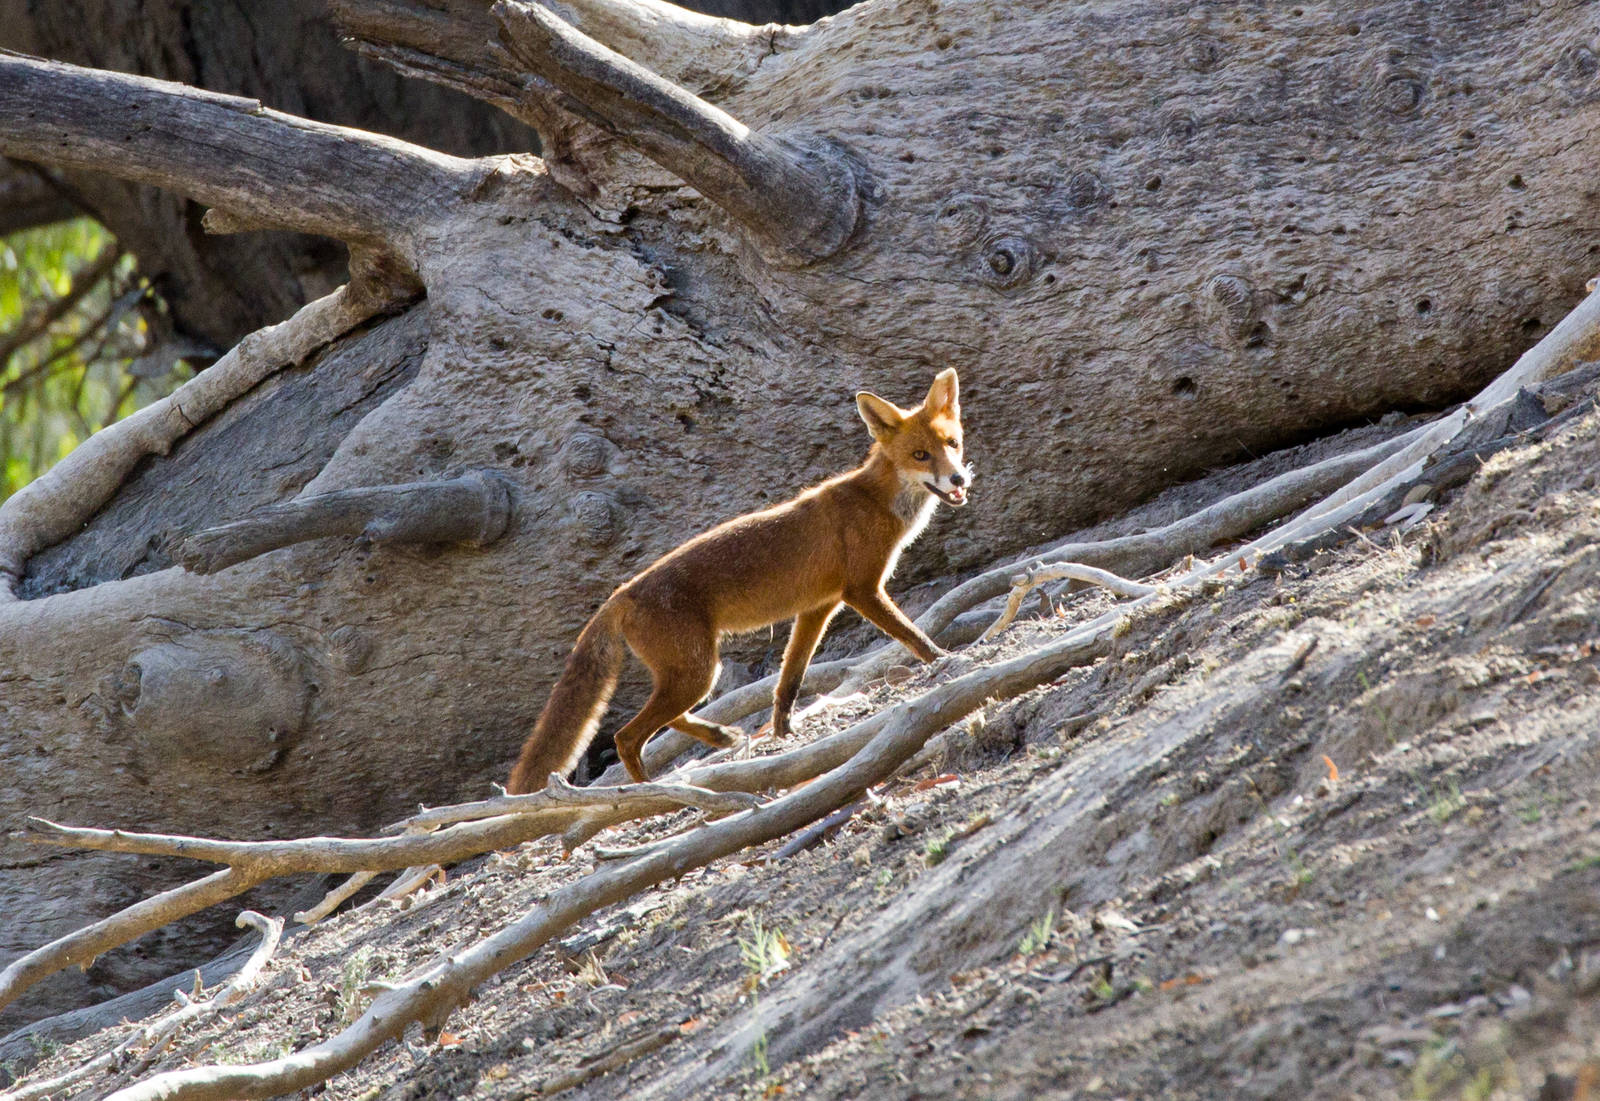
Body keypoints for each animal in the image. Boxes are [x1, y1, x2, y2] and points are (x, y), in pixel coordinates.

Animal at [506, 368, 971, 792]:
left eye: (952, 444)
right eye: (920, 455)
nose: (959, 479)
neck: (876, 500)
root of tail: (619, 594)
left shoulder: (817, 607)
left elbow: (789, 680)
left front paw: (782, 731)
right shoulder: (863, 590)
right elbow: (912, 635)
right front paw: (945, 659)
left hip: (694, 673)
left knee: (663, 720)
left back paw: (718, 736)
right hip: (697, 671)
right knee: (626, 737)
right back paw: (648, 792)